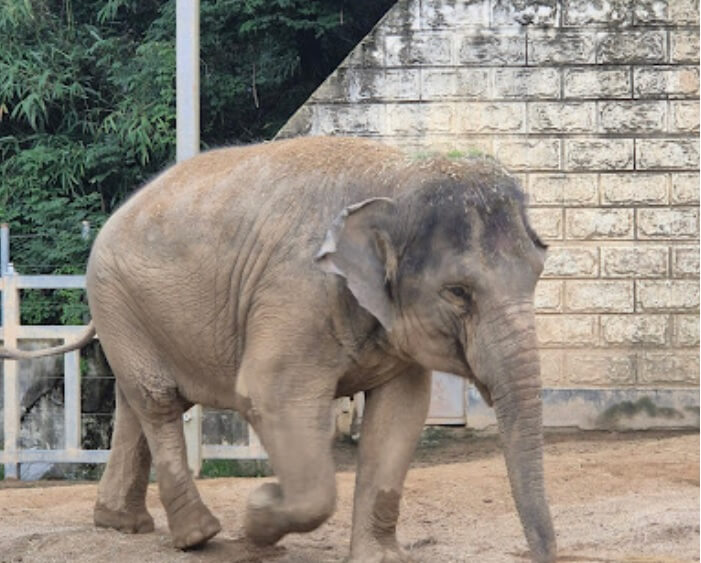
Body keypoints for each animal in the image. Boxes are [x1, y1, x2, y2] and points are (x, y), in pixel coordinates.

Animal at [2, 137, 556, 563]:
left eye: (537, 273)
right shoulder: (296, 292)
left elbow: (401, 411)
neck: (396, 176)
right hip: (118, 295)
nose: (543, 554)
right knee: (158, 402)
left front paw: (379, 558)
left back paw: (123, 523)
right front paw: (261, 511)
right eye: (459, 292)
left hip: (129, 312)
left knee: (135, 401)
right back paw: (199, 536)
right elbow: (272, 397)